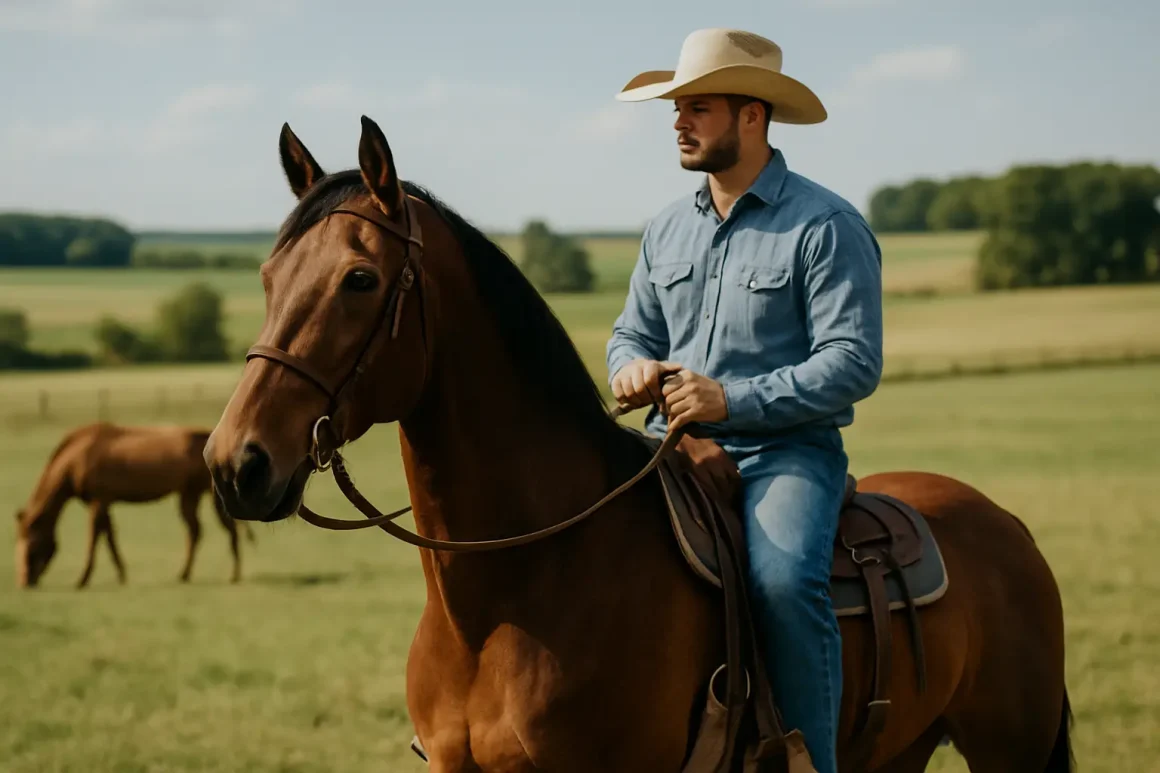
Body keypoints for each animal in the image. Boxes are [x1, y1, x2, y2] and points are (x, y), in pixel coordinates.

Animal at [15, 421, 254, 589]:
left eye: (31, 547)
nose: (24, 582)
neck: (76, 458)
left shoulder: (97, 501)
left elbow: (94, 539)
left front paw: (83, 579)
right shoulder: (105, 503)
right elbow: (110, 538)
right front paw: (121, 574)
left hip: (207, 496)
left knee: (228, 530)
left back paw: (233, 575)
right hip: (188, 495)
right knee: (196, 532)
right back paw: (184, 574)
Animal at [203, 116, 1072, 772]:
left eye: (358, 279)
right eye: (268, 276)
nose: (235, 462)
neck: (519, 589)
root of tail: (1006, 524)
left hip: (1009, 750)